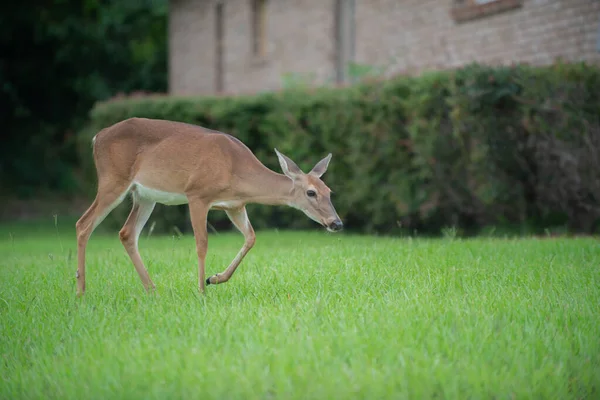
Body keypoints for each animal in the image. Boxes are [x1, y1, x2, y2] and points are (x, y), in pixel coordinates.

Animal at [75, 117, 342, 296]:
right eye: (311, 192)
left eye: (330, 192)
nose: (336, 223)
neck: (236, 170)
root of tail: (97, 137)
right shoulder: (197, 195)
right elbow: (202, 244)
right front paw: (202, 290)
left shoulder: (234, 205)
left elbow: (251, 238)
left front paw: (215, 278)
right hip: (113, 180)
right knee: (83, 224)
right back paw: (81, 291)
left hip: (144, 195)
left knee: (127, 233)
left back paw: (152, 290)